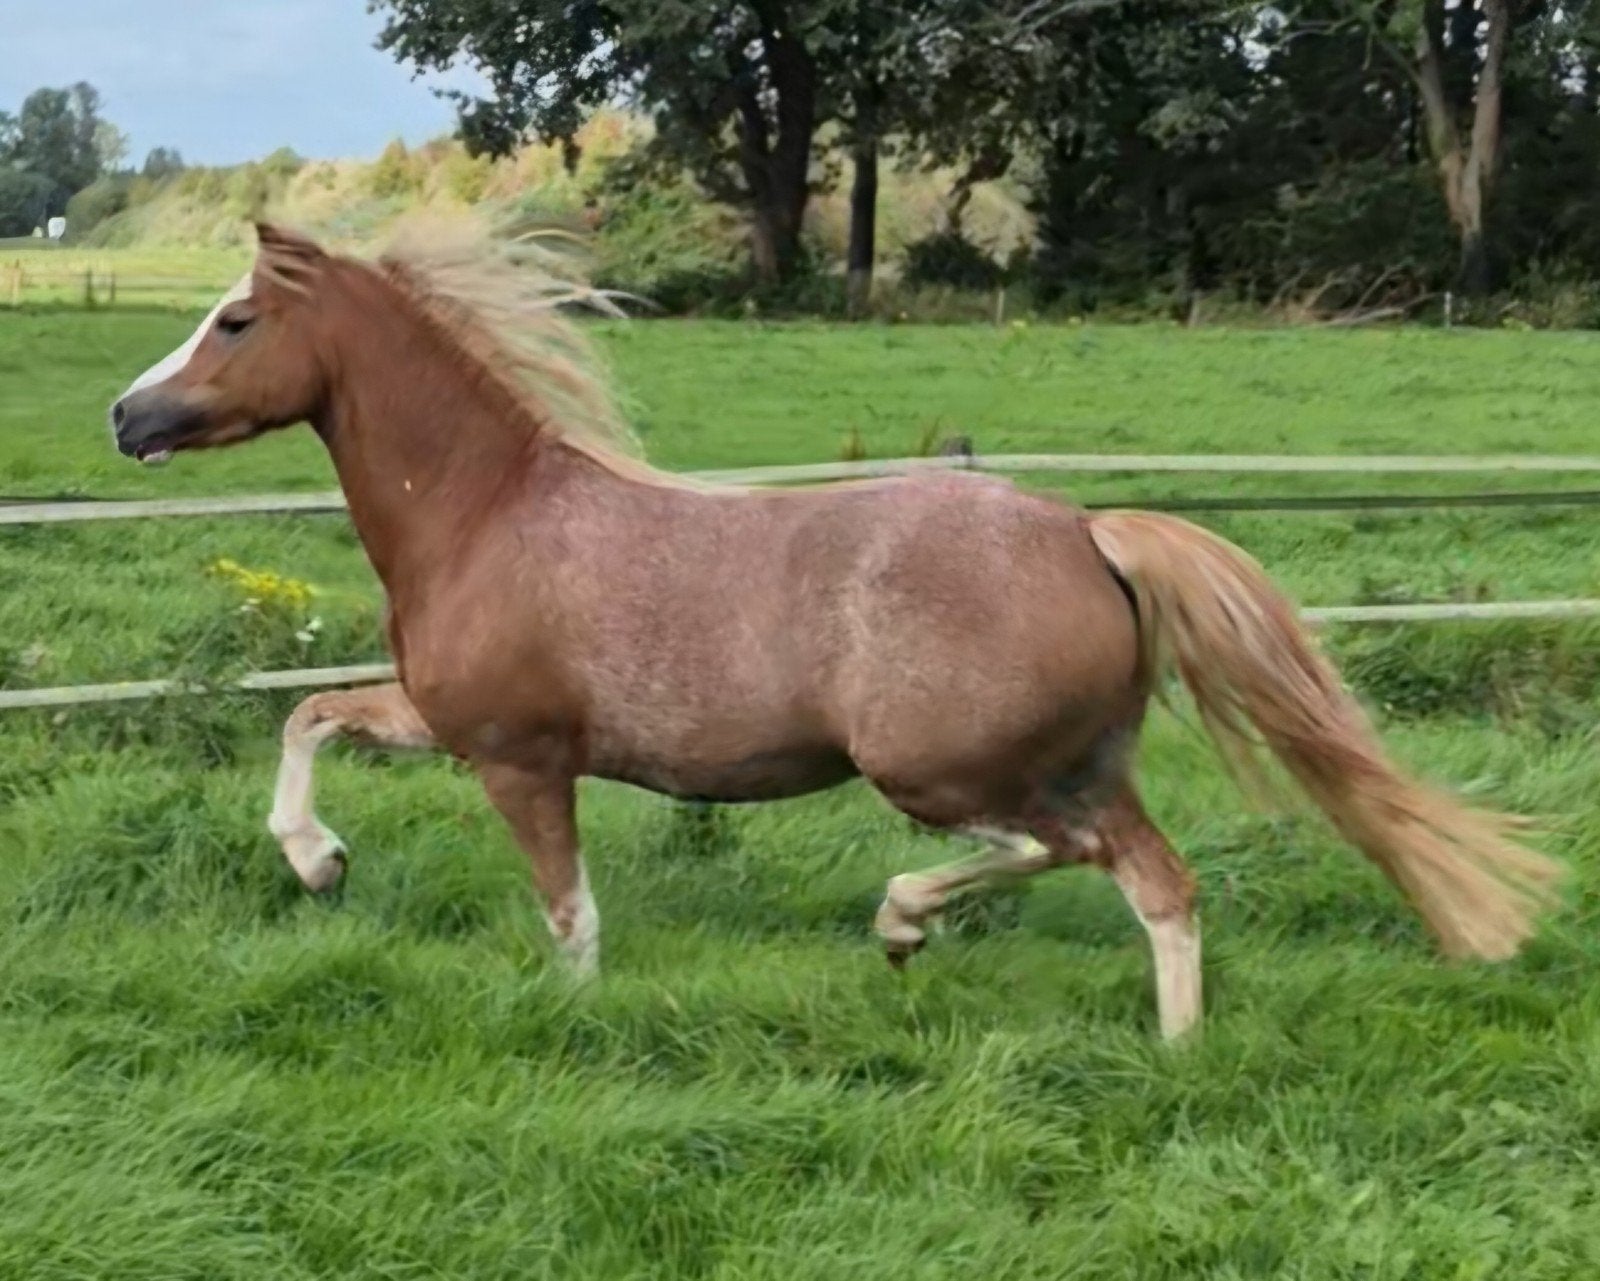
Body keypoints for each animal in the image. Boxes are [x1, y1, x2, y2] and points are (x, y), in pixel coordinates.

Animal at [108, 220, 1561, 1039]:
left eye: (234, 318)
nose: (126, 416)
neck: (486, 515)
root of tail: (1088, 533)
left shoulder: (520, 755)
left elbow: (570, 917)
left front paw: (569, 1021)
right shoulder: (444, 718)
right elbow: (310, 714)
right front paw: (319, 863)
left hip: (942, 766)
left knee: (1080, 858)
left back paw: (930, 933)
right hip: (1066, 762)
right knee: (1151, 877)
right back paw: (1150, 1035)